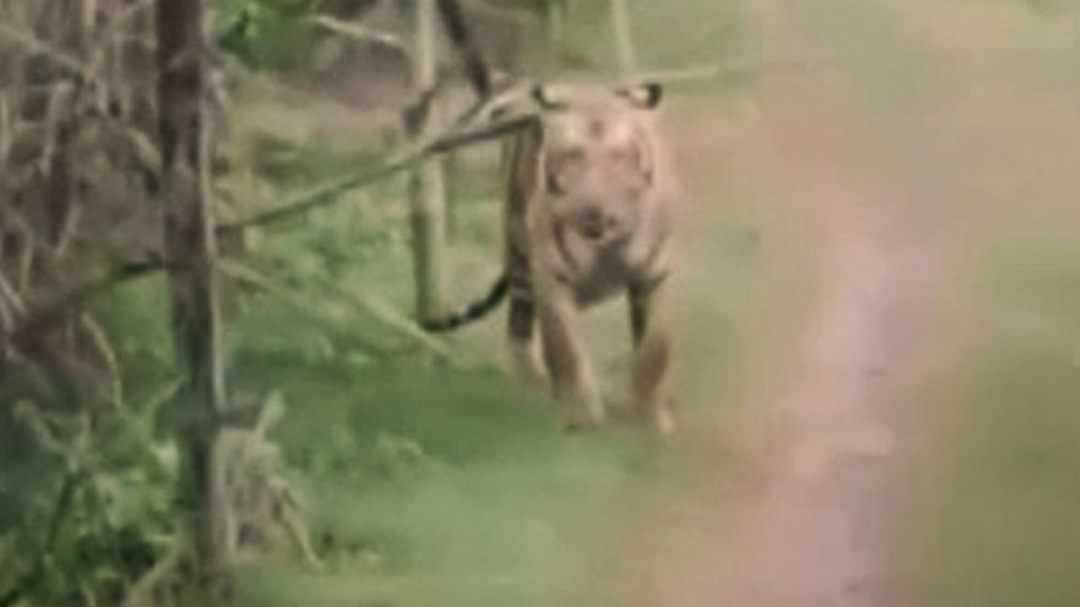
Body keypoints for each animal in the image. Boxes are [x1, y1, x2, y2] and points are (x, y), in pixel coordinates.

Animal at [423, 80, 678, 434]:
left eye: (620, 155)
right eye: (573, 156)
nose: (594, 211)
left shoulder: (655, 276)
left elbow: (655, 348)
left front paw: (650, 418)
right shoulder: (552, 277)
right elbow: (564, 349)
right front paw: (580, 415)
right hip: (518, 253)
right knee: (519, 326)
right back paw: (532, 383)